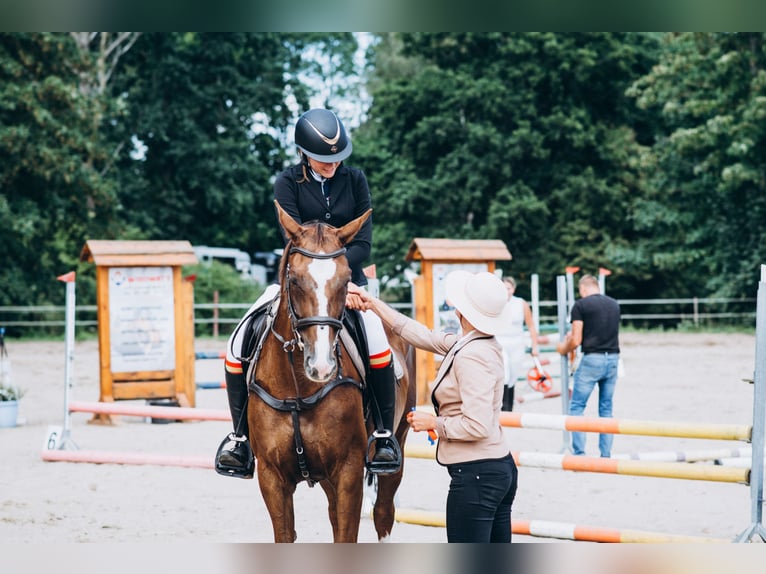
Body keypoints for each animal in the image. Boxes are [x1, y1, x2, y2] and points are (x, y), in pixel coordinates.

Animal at [246, 202, 414, 544]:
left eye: (346, 279)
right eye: (295, 280)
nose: (321, 366)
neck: (297, 387)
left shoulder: (348, 470)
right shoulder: (271, 476)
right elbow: (287, 533)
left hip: (398, 440)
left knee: (383, 512)